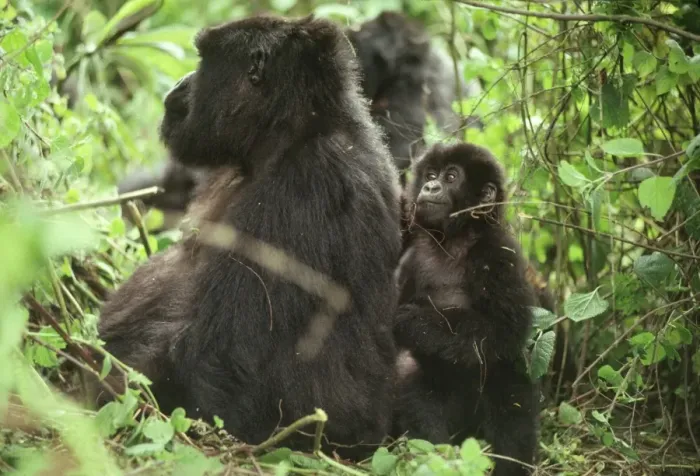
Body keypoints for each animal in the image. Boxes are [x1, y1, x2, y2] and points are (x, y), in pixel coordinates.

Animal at [391, 142, 538, 476]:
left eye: (451, 177)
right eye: (431, 175)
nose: (430, 187)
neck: (453, 238)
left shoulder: (497, 253)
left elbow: (503, 330)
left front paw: (411, 320)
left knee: (506, 376)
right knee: (413, 374)